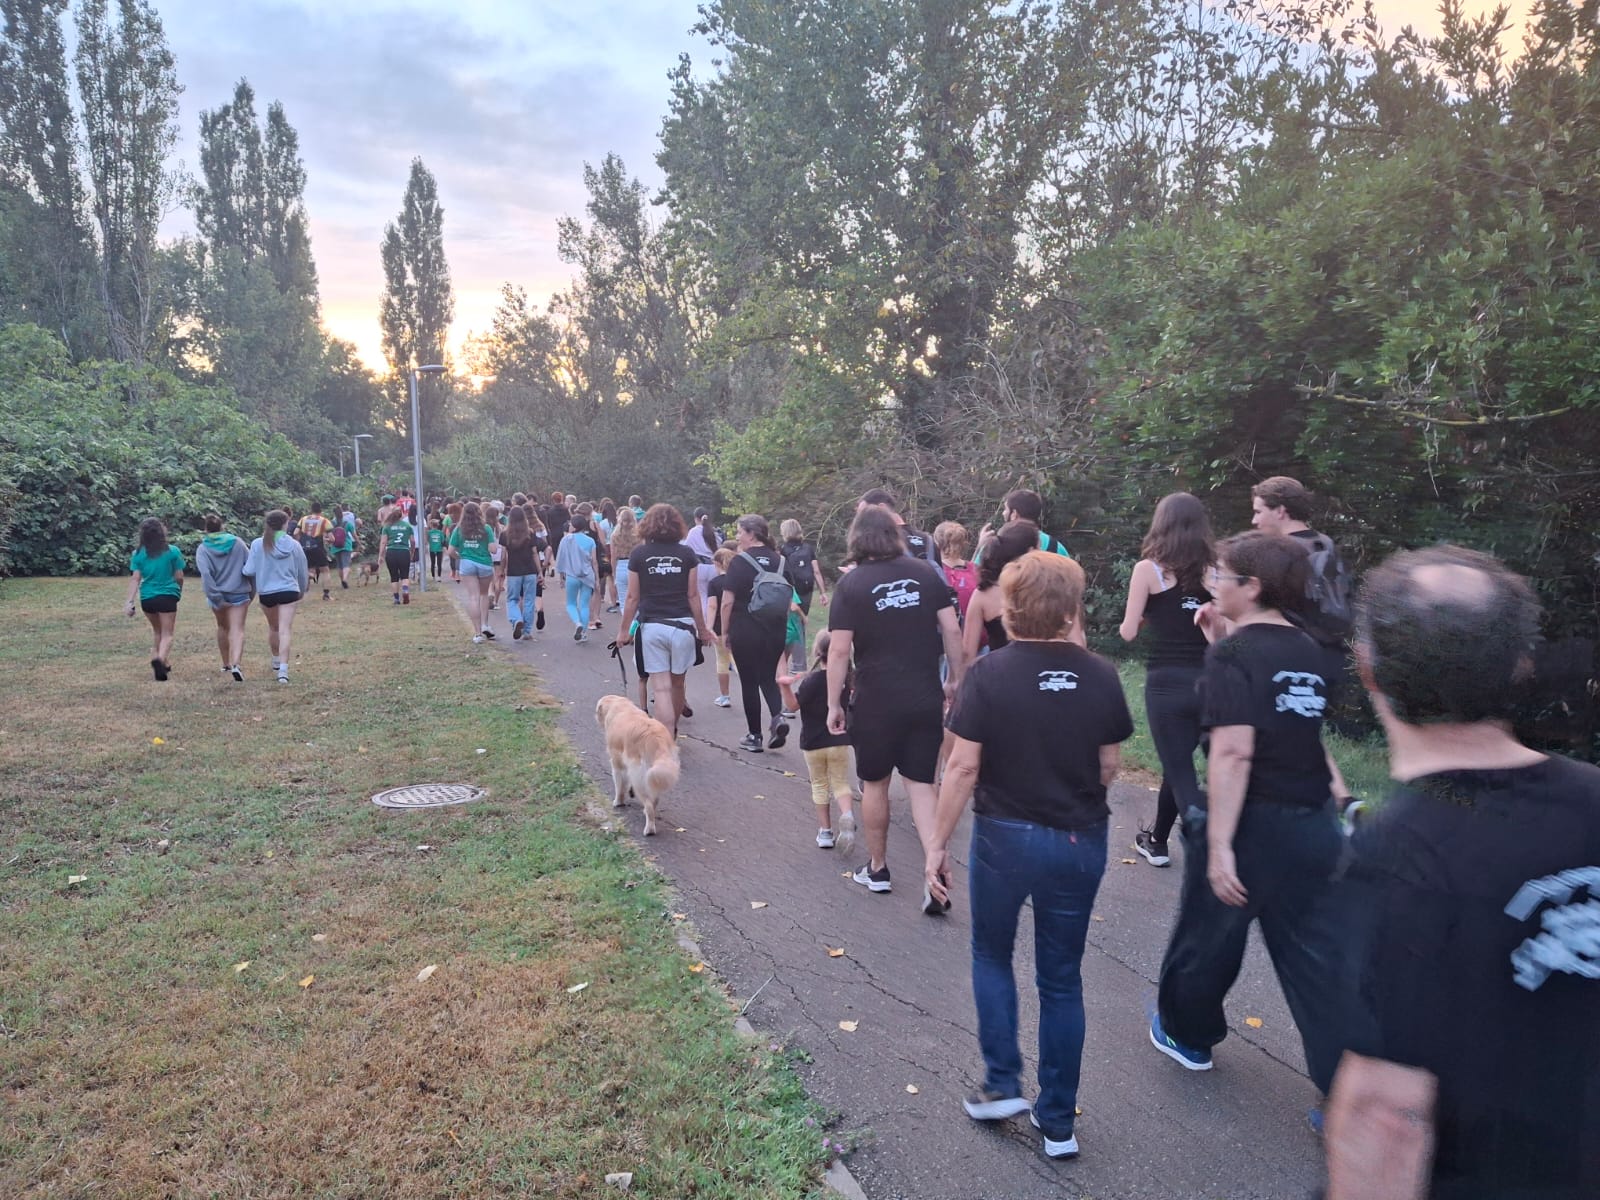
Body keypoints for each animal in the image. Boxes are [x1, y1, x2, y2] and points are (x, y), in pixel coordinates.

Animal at [598, 694, 678, 838]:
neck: (620, 707)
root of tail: (655, 739)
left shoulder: (617, 764)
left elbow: (619, 786)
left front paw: (618, 802)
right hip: (653, 776)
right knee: (654, 800)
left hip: (640, 778)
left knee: (649, 805)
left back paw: (649, 829)